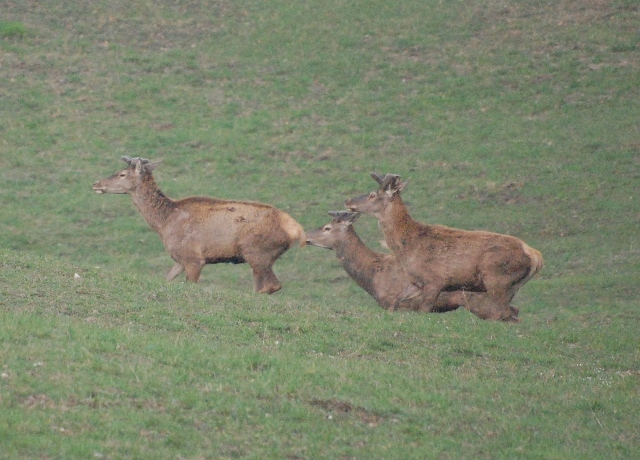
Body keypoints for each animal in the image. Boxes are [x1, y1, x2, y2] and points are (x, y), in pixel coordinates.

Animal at [344, 174, 544, 322]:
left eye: (372, 194)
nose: (348, 201)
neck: (408, 245)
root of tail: (536, 256)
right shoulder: (416, 283)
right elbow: (398, 303)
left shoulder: (435, 280)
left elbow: (424, 310)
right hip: (510, 287)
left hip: (496, 278)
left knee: (502, 313)